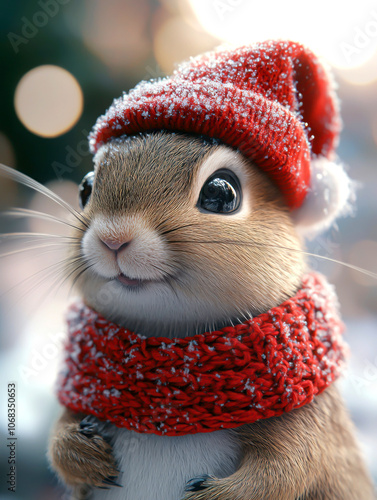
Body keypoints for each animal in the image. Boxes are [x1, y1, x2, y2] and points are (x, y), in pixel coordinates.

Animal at [46, 41, 374, 498]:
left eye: (222, 193)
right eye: (85, 187)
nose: (113, 238)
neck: (172, 340)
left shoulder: (309, 415)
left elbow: (288, 467)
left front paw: (215, 493)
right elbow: (58, 438)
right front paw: (79, 453)